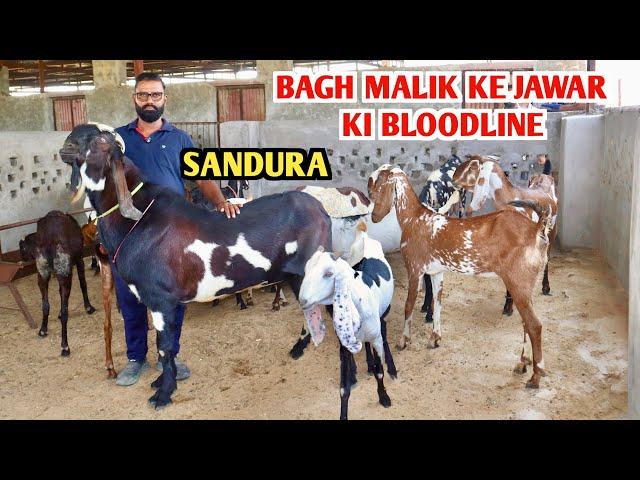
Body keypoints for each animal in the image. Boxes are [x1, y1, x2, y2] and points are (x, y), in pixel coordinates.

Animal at [452, 158, 556, 316]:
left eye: (472, 167)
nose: (453, 180)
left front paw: (510, 306)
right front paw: (508, 305)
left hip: (552, 233)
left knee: (547, 260)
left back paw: (546, 288)